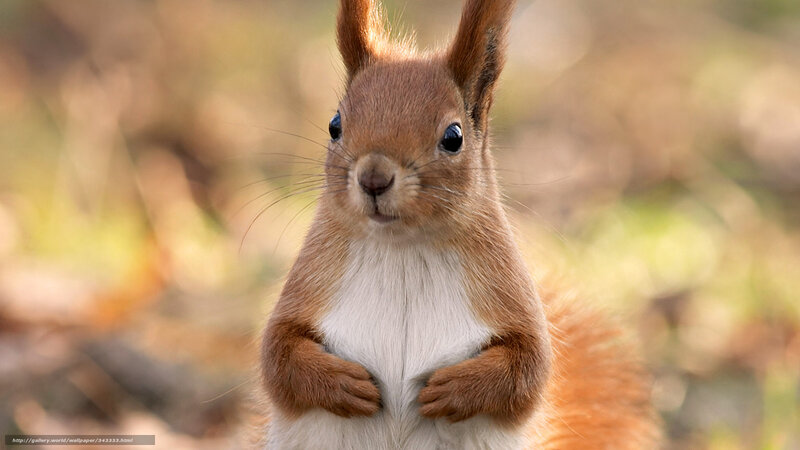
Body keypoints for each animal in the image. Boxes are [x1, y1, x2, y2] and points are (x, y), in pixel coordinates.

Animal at [256, 0, 660, 448]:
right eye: (334, 125)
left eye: (454, 137)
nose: (374, 178)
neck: (403, 250)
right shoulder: (310, 283)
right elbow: (277, 356)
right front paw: (345, 383)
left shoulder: (508, 293)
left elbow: (529, 367)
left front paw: (452, 390)